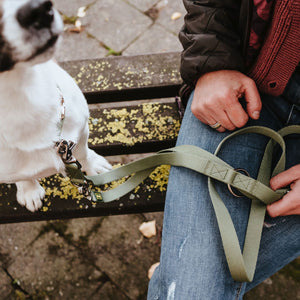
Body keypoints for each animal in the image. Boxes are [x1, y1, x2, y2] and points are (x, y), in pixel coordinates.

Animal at [0, 0, 111, 211]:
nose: (39, 10)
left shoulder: (79, 132)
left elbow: (83, 153)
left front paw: (93, 165)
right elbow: (22, 176)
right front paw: (29, 190)